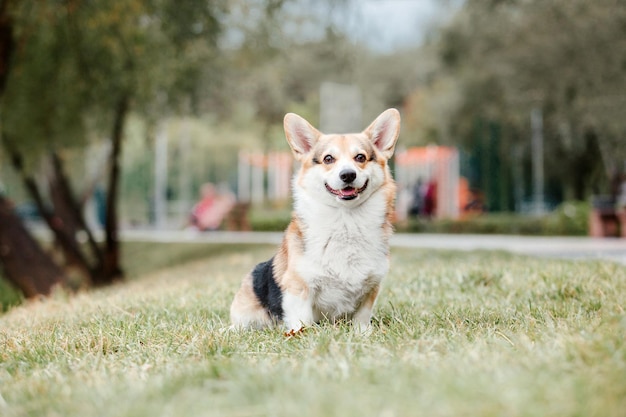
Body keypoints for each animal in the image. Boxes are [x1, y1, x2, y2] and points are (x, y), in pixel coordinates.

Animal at [229, 108, 400, 332]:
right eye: (328, 159)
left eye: (360, 157)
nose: (348, 175)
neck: (346, 221)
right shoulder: (299, 289)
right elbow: (302, 322)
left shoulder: (371, 289)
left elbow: (361, 319)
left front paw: (362, 334)